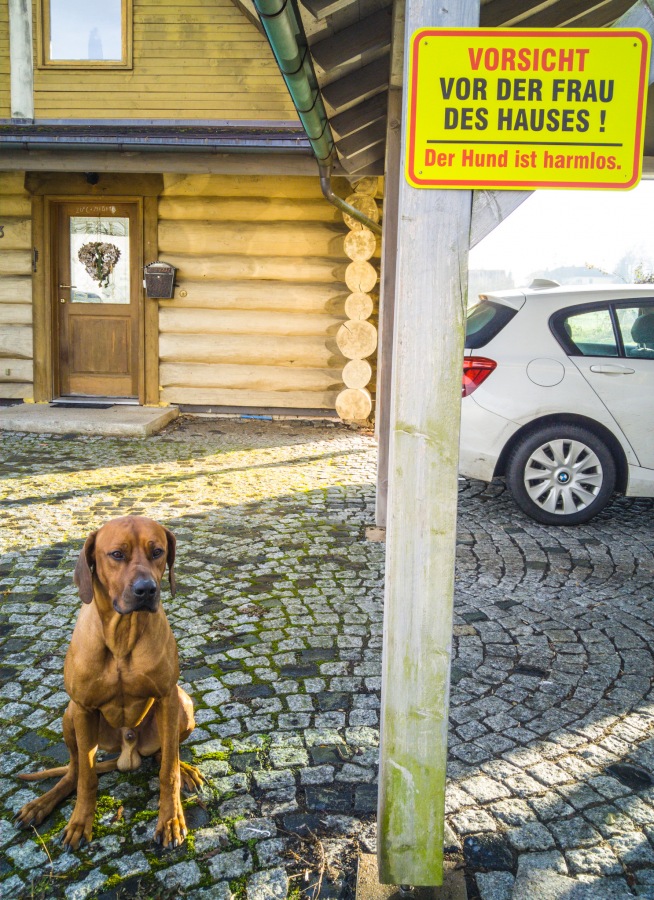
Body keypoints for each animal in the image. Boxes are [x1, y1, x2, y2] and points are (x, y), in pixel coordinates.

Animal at [17, 516, 202, 848]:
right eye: (117, 554)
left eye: (157, 552)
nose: (147, 589)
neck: (121, 636)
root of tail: (127, 753)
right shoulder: (83, 708)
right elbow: (87, 777)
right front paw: (80, 822)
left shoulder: (168, 697)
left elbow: (167, 770)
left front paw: (170, 819)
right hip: (70, 716)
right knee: (74, 771)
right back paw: (41, 804)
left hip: (182, 703)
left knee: (163, 754)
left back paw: (185, 769)